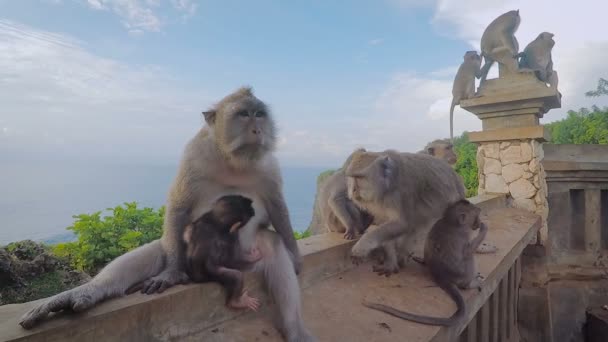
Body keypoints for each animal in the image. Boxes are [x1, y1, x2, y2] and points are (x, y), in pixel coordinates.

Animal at [20, 87, 314, 342]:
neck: (233, 160)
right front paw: (171, 274)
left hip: (249, 256)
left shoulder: (270, 167)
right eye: (243, 114)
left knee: (275, 249)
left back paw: (295, 330)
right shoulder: (193, 156)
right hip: (184, 251)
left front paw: (296, 256)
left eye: (259, 114)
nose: (257, 129)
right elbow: (179, 206)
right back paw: (85, 293)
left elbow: (277, 207)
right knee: (150, 252)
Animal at [364, 199, 486, 328]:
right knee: (469, 260)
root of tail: (442, 277)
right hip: (462, 276)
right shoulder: (463, 235)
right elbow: (468, 252)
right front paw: (484, 229)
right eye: (476, 216)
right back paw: (471, 283)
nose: (479, 222)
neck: (450, 221)